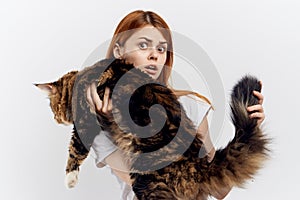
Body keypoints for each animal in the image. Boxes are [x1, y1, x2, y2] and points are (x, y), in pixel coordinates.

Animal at [35, 58, 270, 200]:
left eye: (51, 107)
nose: (55, 118)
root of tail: (199, 163)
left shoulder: (85, 120)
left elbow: (75, 149)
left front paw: (70, 179)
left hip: (146, 181)